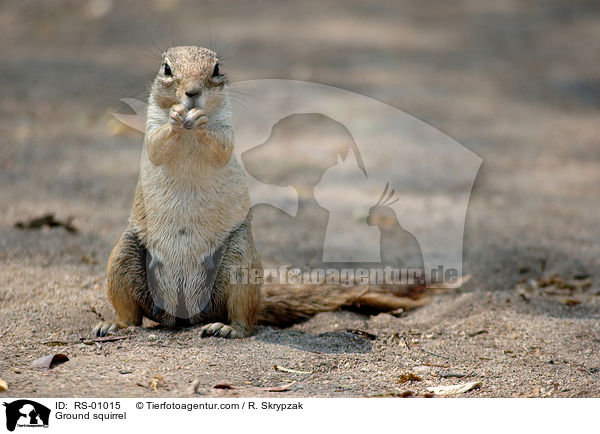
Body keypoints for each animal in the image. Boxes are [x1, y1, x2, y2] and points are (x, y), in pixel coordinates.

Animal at [94, 47, 426, 340]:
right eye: (166, 69)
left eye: (216, 68)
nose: (191, 93)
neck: (188, 135)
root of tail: (184, 314)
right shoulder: (152, 127)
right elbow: (157, 144)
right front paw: (176, 115)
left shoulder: (226, 130)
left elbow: (220, 147)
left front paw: (200, 121)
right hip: (124, 256)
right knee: (132, 315)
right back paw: (114, 325)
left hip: (239, 262)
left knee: (244, 318)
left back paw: (226, 329)